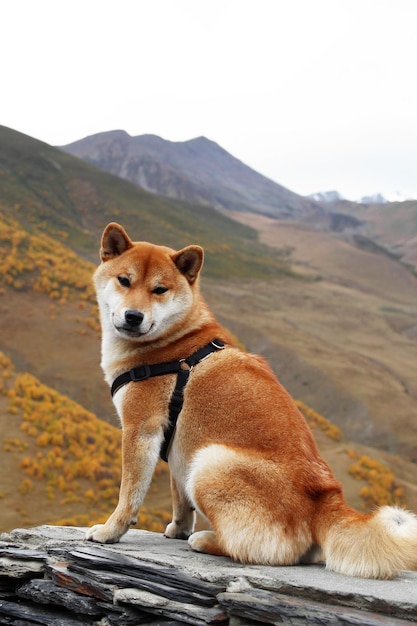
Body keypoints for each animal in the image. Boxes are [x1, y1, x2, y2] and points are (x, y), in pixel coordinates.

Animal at [86, 222, 416, 576]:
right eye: (124, 280)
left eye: (159, 290)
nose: (133, 316)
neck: (173, 344)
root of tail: (324, 499)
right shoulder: (173, 443)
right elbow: (180, 499)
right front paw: (178, 528)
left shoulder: (140, 430)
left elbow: (129, 495)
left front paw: (110, 530)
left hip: (209, 462)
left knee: (257, 549)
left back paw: (206, 540)